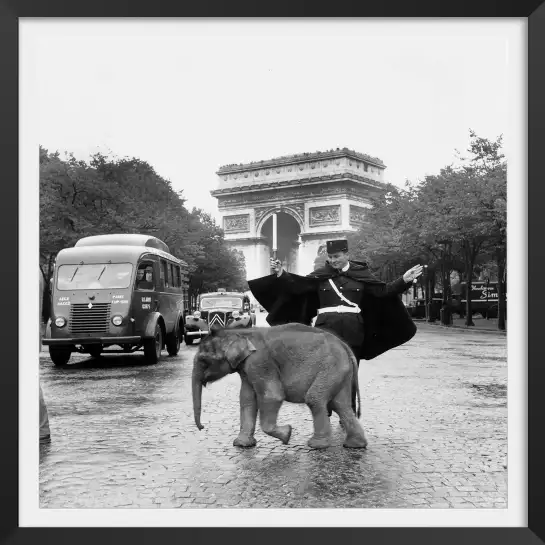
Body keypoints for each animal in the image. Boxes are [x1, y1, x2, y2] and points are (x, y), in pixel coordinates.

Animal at [190, 320, 366, 448]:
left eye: (204, 361)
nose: (202, 427)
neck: (238, 332)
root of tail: (345, 346)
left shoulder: (260, 362)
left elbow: (272, 396)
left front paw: (287, 434)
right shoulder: (246, 369)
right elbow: (247, 399)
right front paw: (241, 445)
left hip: (330, 368)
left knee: (316, 399)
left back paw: (317, 445)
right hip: (340, 372)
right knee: (340, 405)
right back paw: (355, 445)